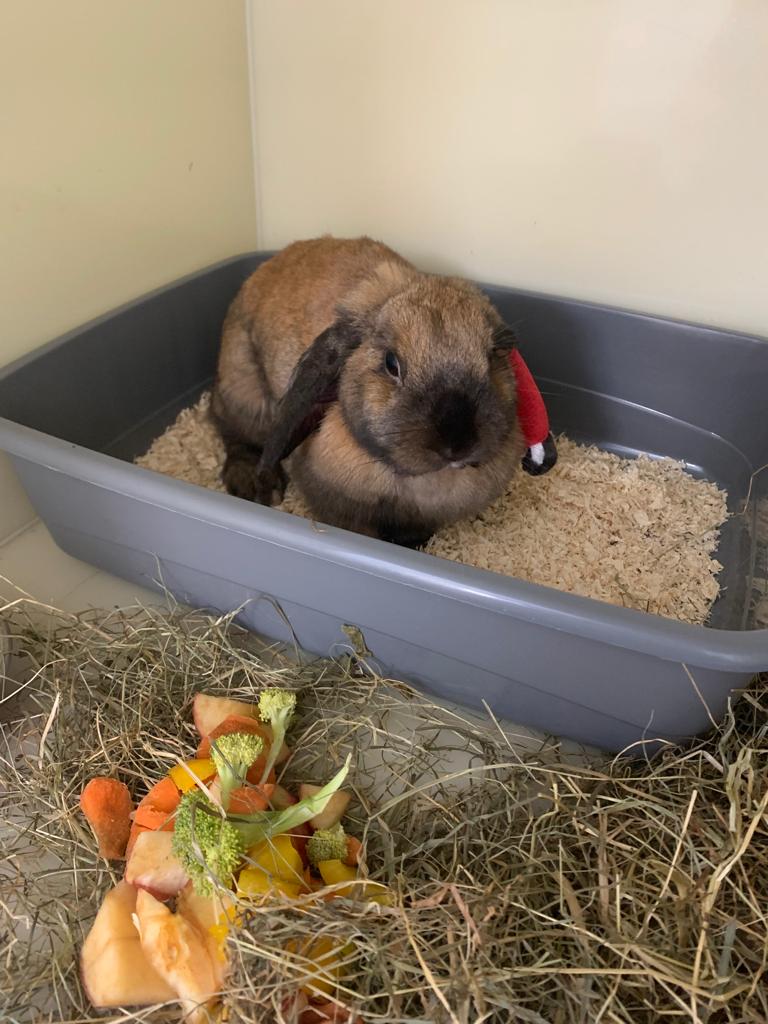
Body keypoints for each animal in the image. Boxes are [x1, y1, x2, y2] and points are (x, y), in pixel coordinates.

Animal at [214, 235, 536, 548]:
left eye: (492, 356)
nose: (458, 442)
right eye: (392, 364)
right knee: (233, 432)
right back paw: (255, 487)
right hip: (245, 395)